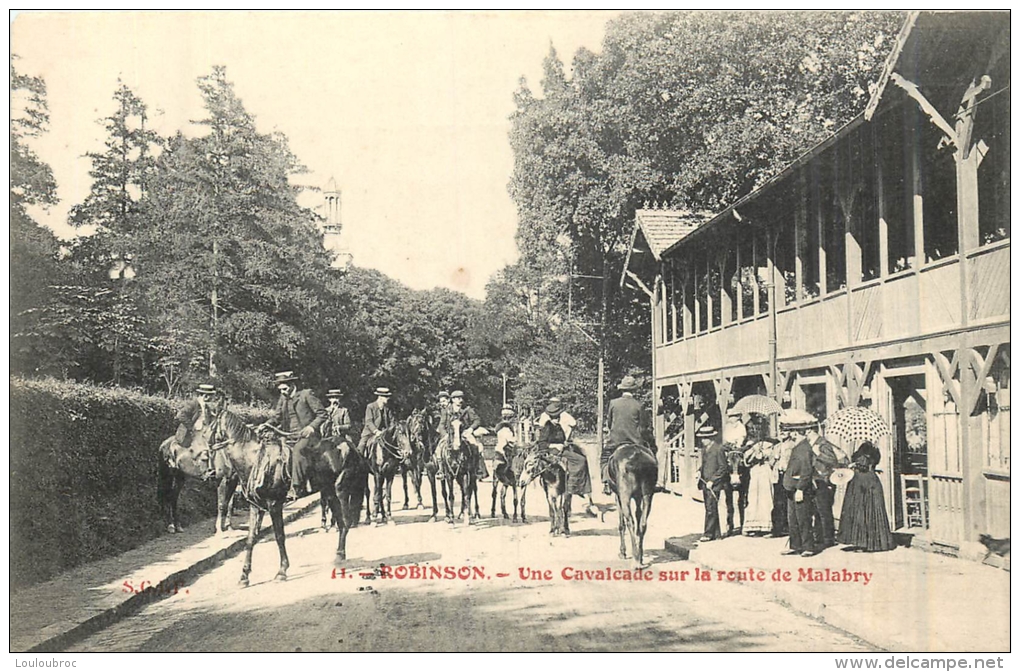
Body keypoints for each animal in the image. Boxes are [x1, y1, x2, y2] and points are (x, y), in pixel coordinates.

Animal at [154, 399, 239, 534]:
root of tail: (165, 443)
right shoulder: (222, 480)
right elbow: (221, 504)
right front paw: (219, 529)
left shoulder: (233, 481)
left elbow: (228, 504)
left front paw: (227, 526)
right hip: (168, 475)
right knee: (167, 496)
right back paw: (171, 525)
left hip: (180, 477)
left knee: (173, 498)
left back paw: (178, 525)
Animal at [202, 405, 367, 587]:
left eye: (207, 427)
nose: (210, 472)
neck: (254, 459)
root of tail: (351, 447)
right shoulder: (256, 506)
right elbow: (251, 538)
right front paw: (244, 576)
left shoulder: (274, 504)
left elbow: (279, 536)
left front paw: (282, 571)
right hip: (330, 493)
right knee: (341, 522)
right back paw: (339, 555)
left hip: (341, 490)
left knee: (345, 521)